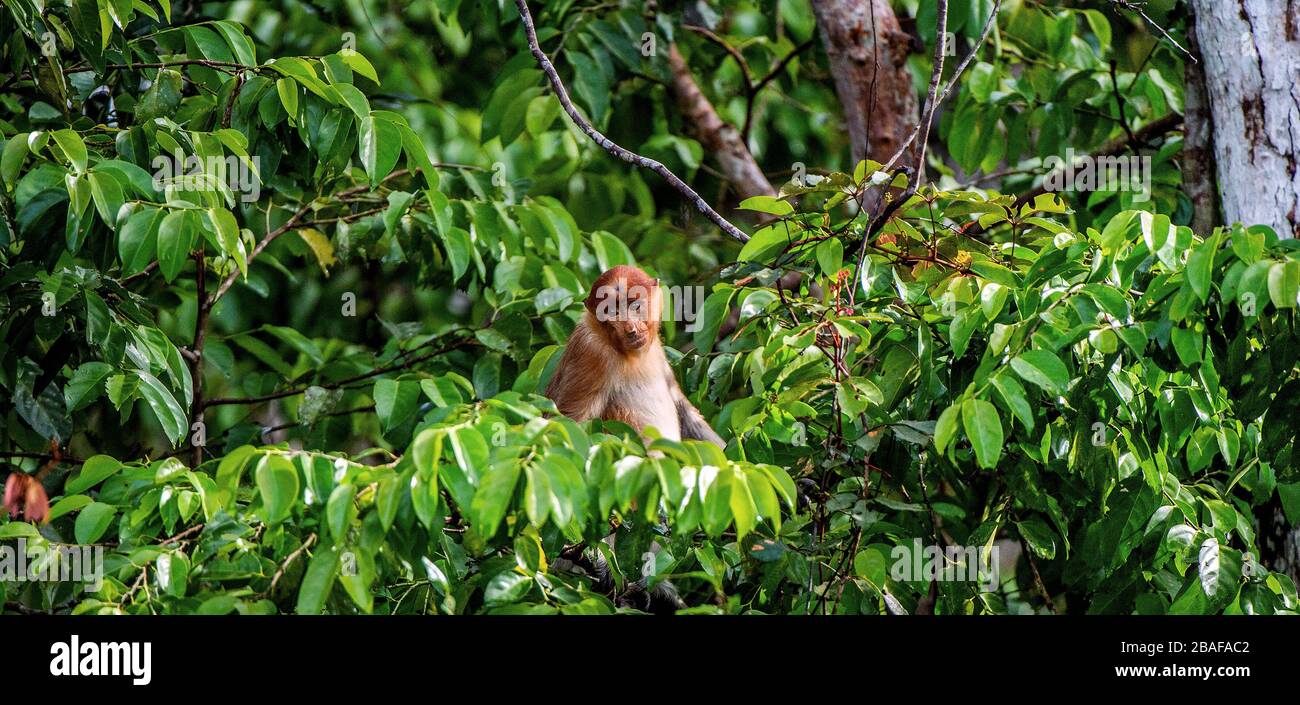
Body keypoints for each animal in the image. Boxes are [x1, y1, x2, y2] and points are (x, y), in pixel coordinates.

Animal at [543, 265, 728, 447]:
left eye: (635, 305)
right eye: (613, 311)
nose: (631, 330)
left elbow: (685, 411)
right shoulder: (592, 353)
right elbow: (568, 421)